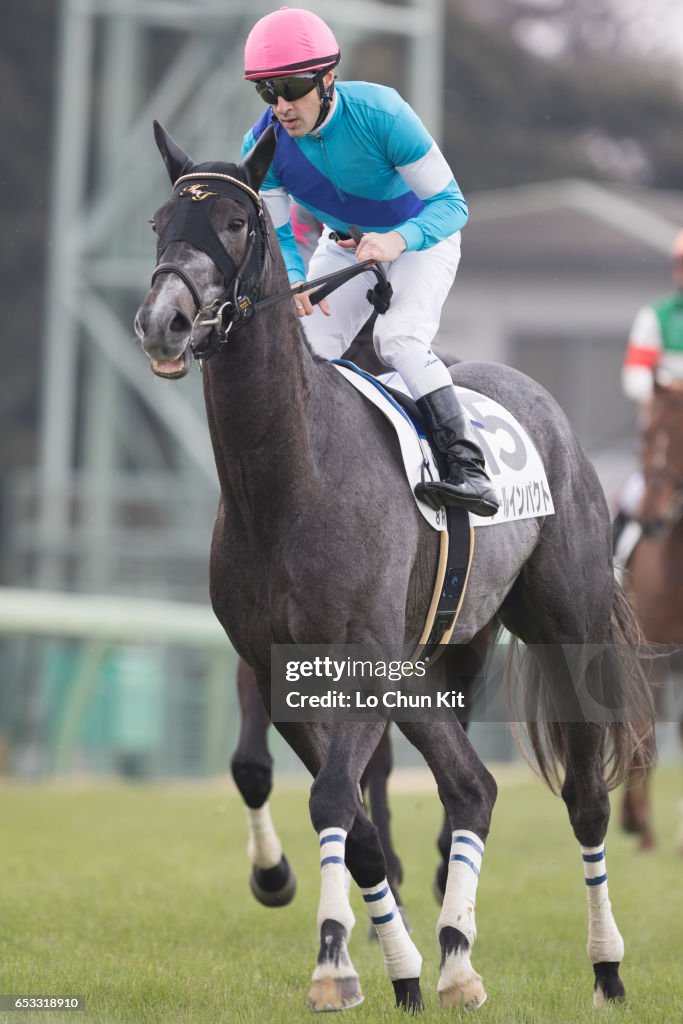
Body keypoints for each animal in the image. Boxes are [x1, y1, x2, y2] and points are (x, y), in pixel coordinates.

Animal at [133, 123, 651, 1011]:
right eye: (163, 220)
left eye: (233, 223)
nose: (163, 321)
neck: (290, 478)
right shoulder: (285, 671)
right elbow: (356, 821)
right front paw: (389, 969)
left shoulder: (361, 662)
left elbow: (336, 797)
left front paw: (333, 964)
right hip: (431, 666)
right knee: (472, 785)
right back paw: (452, 959)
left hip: (565, 627)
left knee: (583, 799)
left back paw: (605, 966)